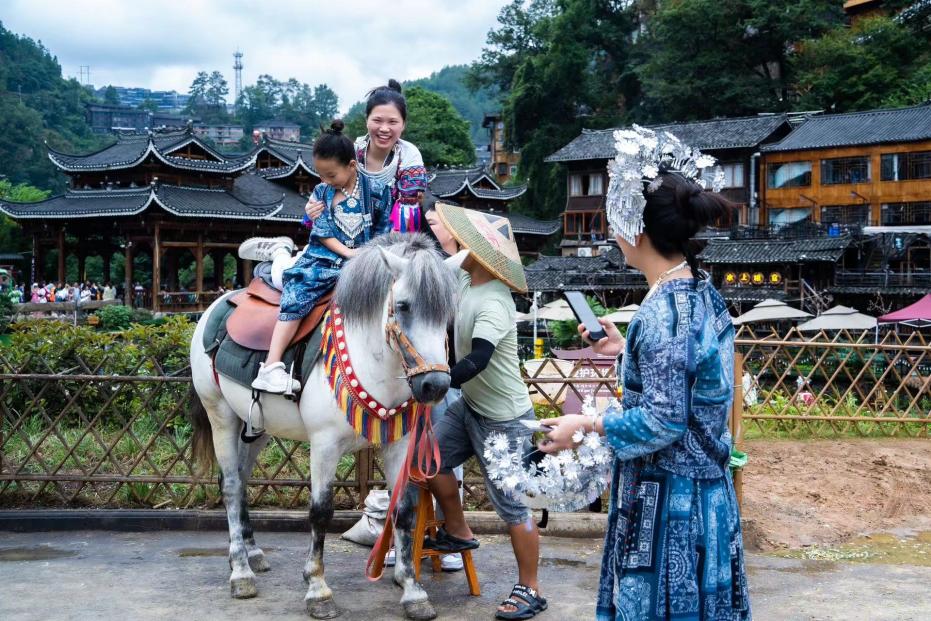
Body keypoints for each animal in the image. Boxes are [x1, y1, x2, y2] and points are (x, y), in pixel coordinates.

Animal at [190, 234, 466, 620]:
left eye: (447, 314)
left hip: (256, 426)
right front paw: (317, 589)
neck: (371, 361)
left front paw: (412, 590)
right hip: (220, 415)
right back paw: (241, 572)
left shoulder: (399, 445)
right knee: (230, 486)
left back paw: (253, 554)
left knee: (242, 481)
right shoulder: (324, 446)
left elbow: (403, 511)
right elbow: (320, 513)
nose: (435, 386)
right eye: (403, 305)